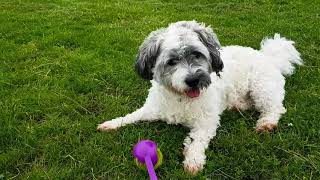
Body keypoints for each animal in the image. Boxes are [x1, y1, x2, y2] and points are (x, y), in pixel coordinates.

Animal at [97, 21, 302, 174]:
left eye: (197, 54)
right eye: (171, 61)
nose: (193, 80)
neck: (180, 97)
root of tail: (268, 56)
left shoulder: (206, 121)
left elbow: (197, 140)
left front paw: (193, 160)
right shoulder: (152, 109)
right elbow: (132, 116)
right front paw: (111, 124)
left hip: (262, 88)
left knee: (275, 108)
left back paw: (266, 123)